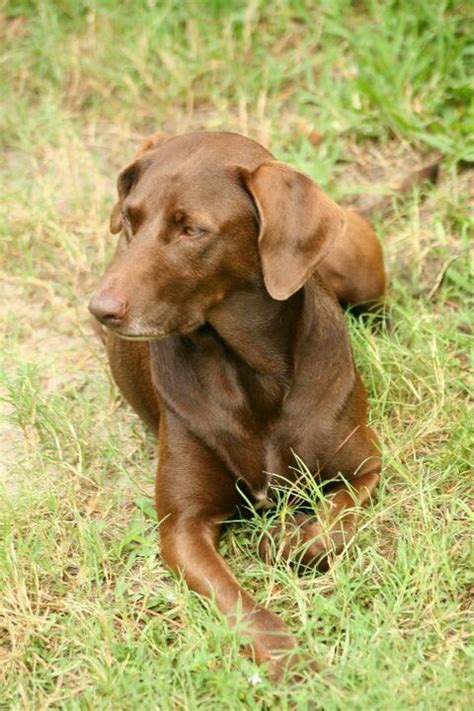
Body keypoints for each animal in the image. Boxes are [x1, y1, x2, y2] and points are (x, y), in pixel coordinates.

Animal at [89, 131, 384, 680]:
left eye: (192, 229)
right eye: (131, 219)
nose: (99, 310)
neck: (251, 369)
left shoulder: (367, 469)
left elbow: (332, 528)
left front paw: (285, 541)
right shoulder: (183, 528)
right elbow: (243, 606)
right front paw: (294, 662)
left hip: (361, 276)